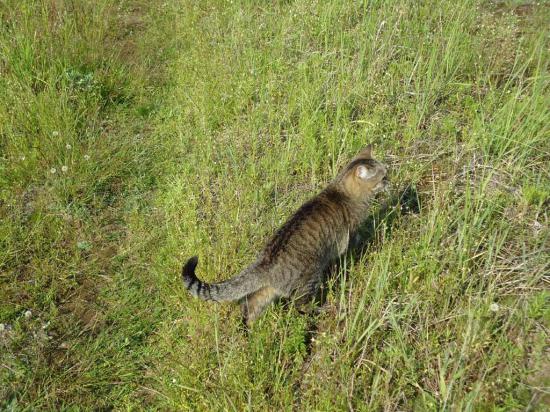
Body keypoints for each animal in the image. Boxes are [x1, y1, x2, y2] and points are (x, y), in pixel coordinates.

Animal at [181, 145, 388, 326]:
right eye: (383, 176)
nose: (390, 179)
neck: (343, 192)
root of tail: (266, 263)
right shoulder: (349, 235)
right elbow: (355, 243)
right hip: (310, 277)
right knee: (300, 304)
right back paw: (323, 309)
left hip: (268, 291)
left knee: (251, 304)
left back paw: (253, 330)